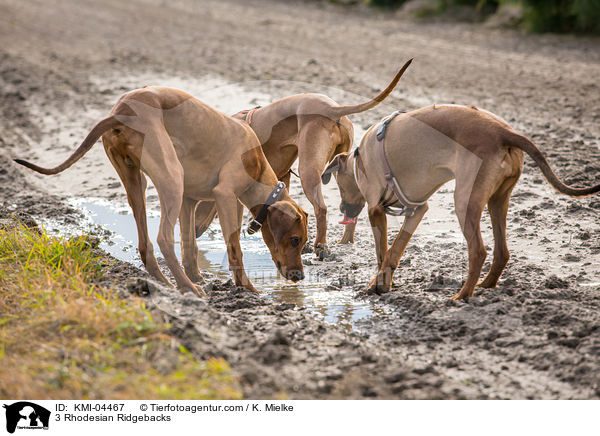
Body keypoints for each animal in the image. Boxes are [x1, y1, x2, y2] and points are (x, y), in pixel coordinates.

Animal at [14, 85, 310, 296]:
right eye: (295, 240)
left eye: (303, 241)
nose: (300, 277)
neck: (256, 163)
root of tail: (120, 111)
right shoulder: (226, 197)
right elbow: (234, 246)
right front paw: (245, 287)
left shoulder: (189, 201)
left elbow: (190, 246)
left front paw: (198, 275)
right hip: (171, 179)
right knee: (163, 239)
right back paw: (188, 288)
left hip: (136, 182)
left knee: (145, 244)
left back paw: (168, 283)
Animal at [193, 58, 412, 258]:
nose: (193, 232)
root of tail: (332, 108)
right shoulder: (282, 179)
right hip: (344, 167)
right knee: (353, 207)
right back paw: (345, 240)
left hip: (308, 171)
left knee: (321, 208)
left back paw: (321, 246)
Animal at [324, 104, 600, 300]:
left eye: (339, 184)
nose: (342, 209)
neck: (360, 157)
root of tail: (504, 132)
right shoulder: (417, 210)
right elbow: (395, 250)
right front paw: (384, 283)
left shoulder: (375, 211)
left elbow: (382, 251)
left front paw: (378, 283)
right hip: (497, 201)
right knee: (501, 251)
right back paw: (486, 285)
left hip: (464, 202)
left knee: (478, 250)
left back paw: (462, 296)